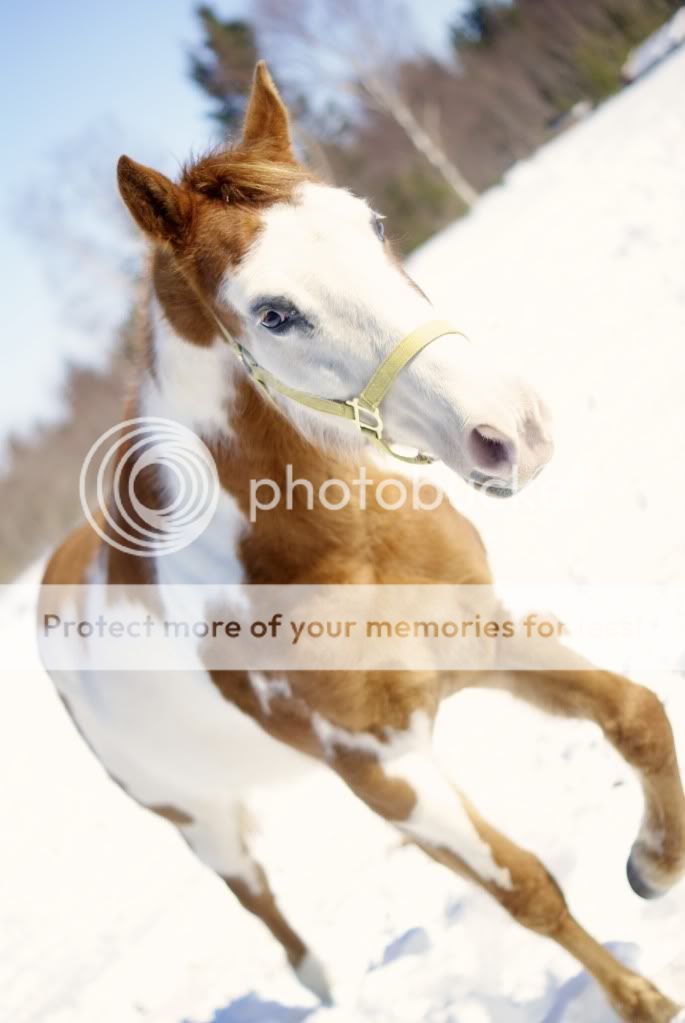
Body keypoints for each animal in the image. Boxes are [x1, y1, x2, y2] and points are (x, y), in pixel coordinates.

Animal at [41, 61, 685, 1014]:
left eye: (372, 224)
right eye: (273, 313)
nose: (513, 431)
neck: (340, 548)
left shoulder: (485, 640)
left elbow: (635, 712)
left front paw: (652, 864)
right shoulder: (383, 766)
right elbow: (523, 887)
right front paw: (641, 998)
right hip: (199, 820)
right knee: (255, 894)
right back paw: (323, 981)